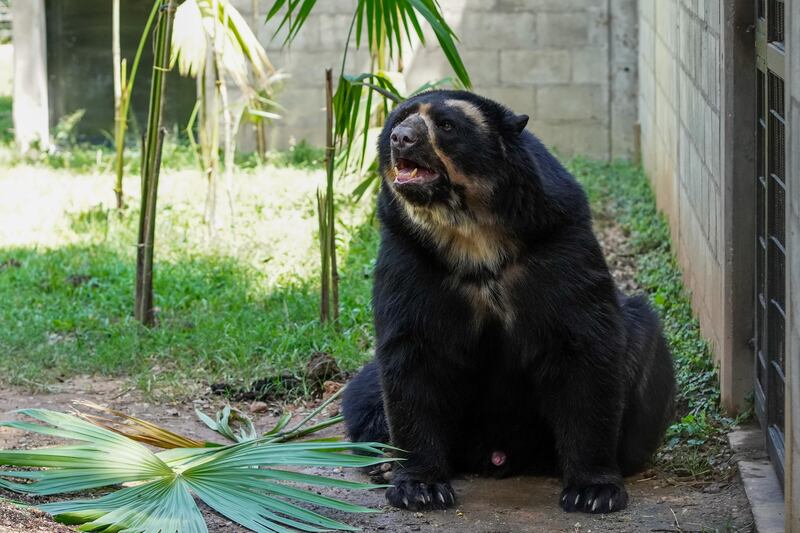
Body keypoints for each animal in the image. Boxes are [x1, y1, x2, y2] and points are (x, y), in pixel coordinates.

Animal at [342, 90, 676, 515]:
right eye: (398, 119)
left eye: (447, 125)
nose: (402, 138)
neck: (472, 234)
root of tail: (497, 455)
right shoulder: (409, 255)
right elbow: (411, 354)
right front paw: (419, 487)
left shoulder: (558, 242)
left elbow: (584, 347)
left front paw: (594, 492)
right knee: (364, 391)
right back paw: (382, 461)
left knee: (643, 337)